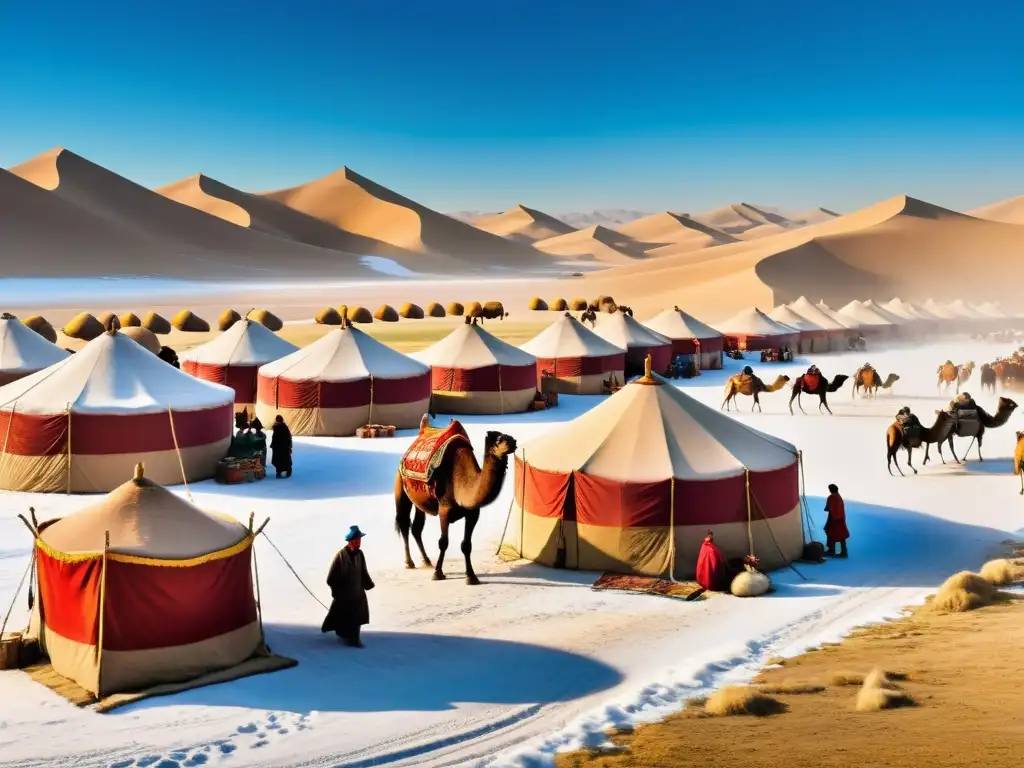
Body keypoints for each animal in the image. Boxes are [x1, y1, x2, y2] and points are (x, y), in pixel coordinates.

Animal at [395, 421, 516, 581]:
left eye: (509, 436)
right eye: (499, 439)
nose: (513, 442)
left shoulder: (473, 513)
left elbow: (466, 544)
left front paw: (471, 577)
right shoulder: (444, 509)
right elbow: (443, 542)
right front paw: (438, 573)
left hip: (419, 501)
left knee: (416, 528)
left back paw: (426, 561)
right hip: (401, 487)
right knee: (403, 522)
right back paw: (409, 562)